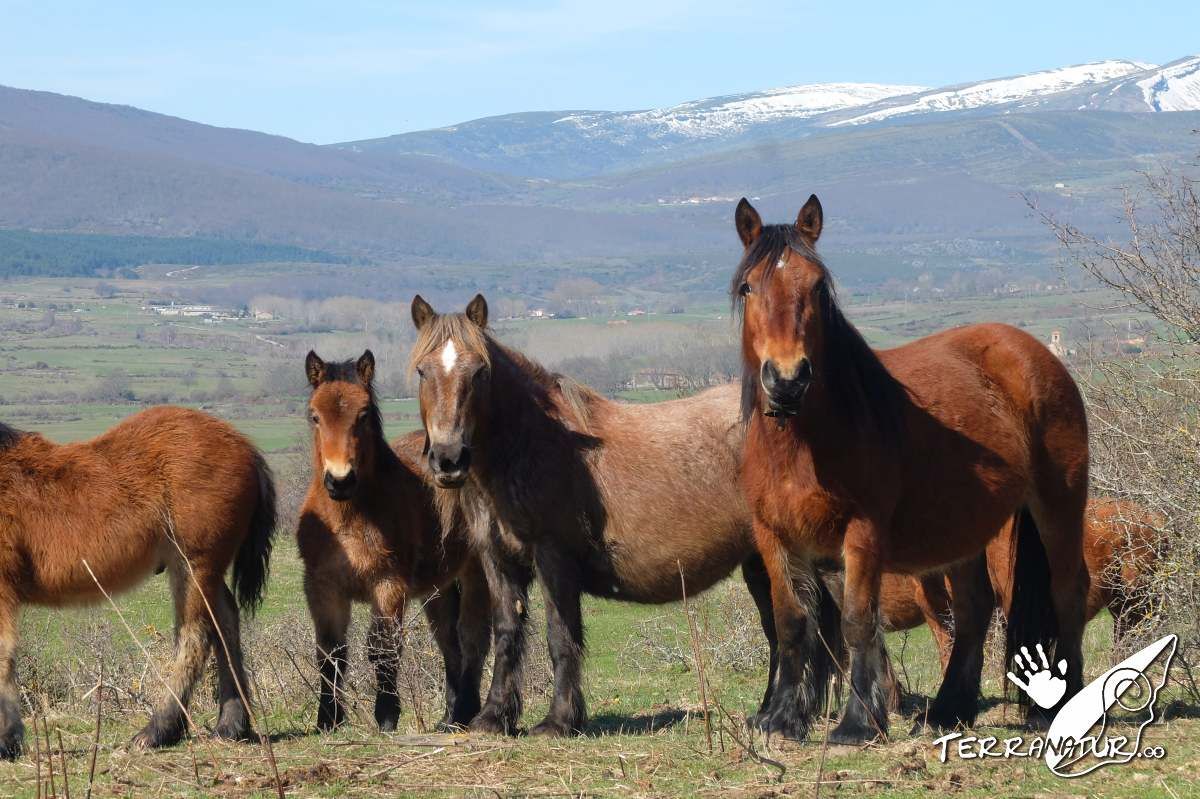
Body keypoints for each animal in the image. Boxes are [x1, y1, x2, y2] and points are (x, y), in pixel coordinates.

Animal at [0, 407, 276, 758]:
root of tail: (244, 446)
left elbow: (4, 654)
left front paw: (6, 739)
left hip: (194, 565)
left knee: (195, 637)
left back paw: (158, 730)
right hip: (204, 572)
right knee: (225, 622)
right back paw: (230, 726)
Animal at [298, 347, 492, 729]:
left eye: (362, 415)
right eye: (315, 416)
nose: (340, 480)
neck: (349, 517)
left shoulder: (388, 586)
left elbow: (382, 648)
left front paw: (386, 715)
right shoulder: (322, 588)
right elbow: (330, 652)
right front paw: (328, 719)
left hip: (474, 575)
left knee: (473, 638)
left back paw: (464, 713)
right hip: (438, 590)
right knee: (450, 644)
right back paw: (449, 717)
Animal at [408, 293, 820, 734]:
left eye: (480, 371)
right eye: (422, 371)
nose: (449, 459)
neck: (529, 445)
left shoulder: (554, 558)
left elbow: (560, 636)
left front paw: (558, 721)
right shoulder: (497, 560)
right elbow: (506, 633)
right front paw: (493, 717)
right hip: (759, 560)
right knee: (782, 631)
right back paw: (770, 714)